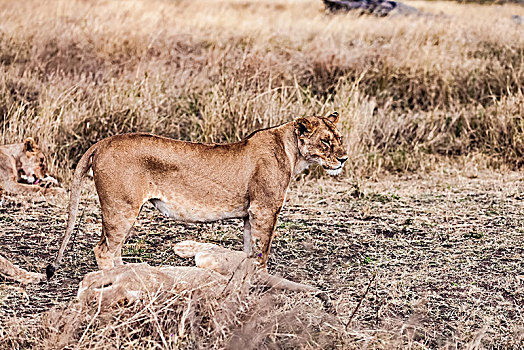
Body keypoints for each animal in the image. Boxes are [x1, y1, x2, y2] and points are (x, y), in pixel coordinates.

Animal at [46, 113, 348, 278]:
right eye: (325, 141)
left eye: (340, 138)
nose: (344, 158)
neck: (292, 152)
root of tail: (102, 142)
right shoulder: (264, 210)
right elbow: (263, 252)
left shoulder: (250, 214)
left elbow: (250, 251)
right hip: (121, 208)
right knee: (104, 250)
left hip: (117, 210)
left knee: (112, 247)